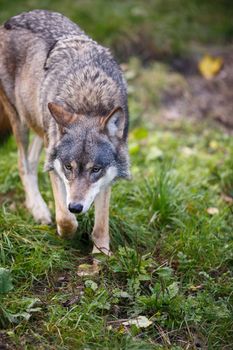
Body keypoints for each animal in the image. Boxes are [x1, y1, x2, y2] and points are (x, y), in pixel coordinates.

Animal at [0, 8, 129, 254]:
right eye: (69, 167)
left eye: (95, 169)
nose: (76, 206)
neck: (87, 98)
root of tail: (11, 20)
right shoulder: (57, 168)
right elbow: (65, 218)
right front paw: (66, 232)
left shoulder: (107, 177)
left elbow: (101, 223)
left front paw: (102, 254)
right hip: (21, 122)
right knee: (23, 164)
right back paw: (39, 210)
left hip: (43, 127)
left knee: (33, 161)